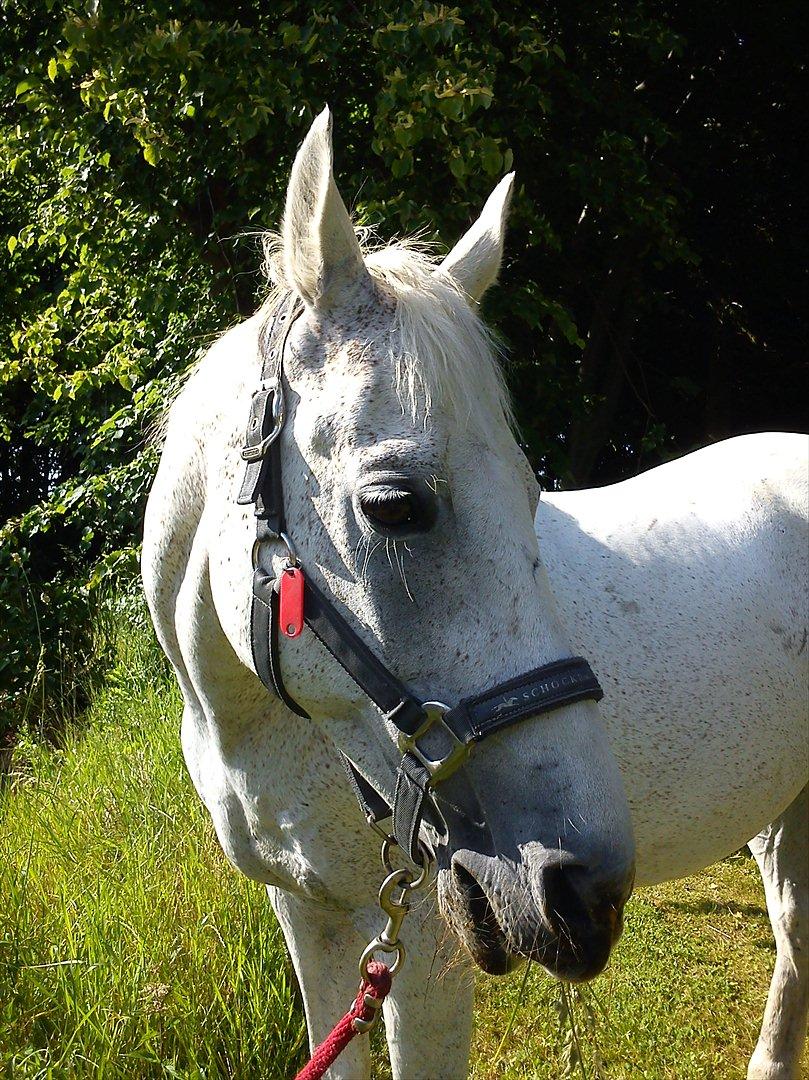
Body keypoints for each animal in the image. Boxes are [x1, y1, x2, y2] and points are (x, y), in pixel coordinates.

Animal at [141, 111, 803, 1080]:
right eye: (394, 505)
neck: (256, 726)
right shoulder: (311, 916)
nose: (582, 888)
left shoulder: (422, 950)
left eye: (531, 496)